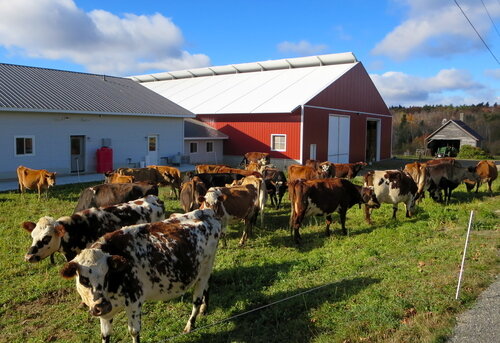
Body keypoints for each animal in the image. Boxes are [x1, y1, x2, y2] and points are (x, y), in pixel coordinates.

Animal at [59, 208, 222, 343]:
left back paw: (190, 324)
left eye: (107, 274)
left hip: (204, 271)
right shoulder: (105, 314)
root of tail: (205, 211)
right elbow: (105, 335)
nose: (102, 305)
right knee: (208, 284)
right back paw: (204, 309)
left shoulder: (134, 302)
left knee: (197, 300)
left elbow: (134, 332)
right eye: (83, 279)